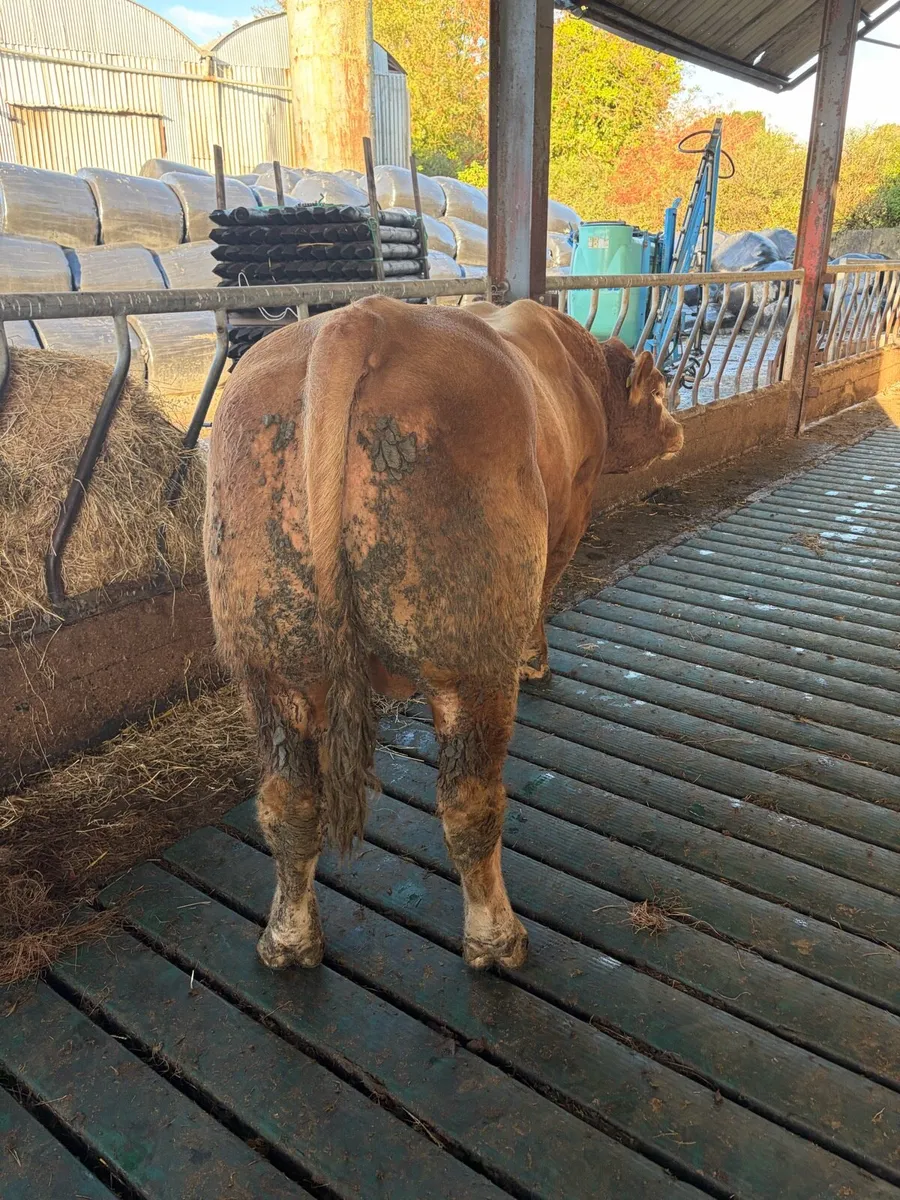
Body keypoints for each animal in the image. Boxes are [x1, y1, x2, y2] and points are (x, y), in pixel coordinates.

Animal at [204, 296, 683, 973]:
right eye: (662, 388)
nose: (678, 429)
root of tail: (363, 318)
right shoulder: (568, 519)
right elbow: (545, 595)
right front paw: (537, 661)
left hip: (272, 651)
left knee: (288, 801)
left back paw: (289, 943)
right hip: (469, 655)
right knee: (469, 803)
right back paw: (497, 941)